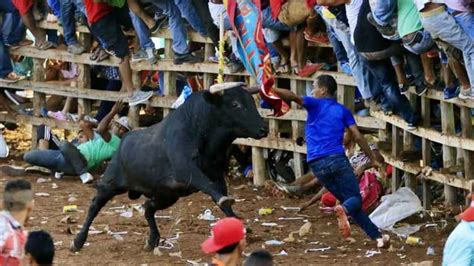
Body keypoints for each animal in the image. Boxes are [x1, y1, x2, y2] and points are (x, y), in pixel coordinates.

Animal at [71, 83, 268, 251]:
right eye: (235, 104)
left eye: (251, 102)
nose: (264, 129)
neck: (200, 128)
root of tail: (123, 143)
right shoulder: (186, 170)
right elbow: (209, 187)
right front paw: (225, 203)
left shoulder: (216, 175)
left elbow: (221, 196)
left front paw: (240, 226)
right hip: (111, 183)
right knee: (95, 205)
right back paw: (78, 241)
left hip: (166, 195)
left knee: (148, 208)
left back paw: (152, 240)